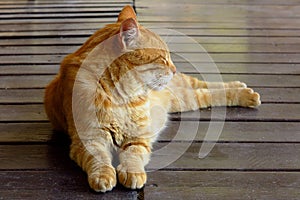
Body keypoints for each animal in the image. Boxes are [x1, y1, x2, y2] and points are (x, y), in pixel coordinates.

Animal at [44, 5, 260, 192]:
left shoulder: (139, 137)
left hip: (185, 94)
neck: (120, 98)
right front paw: (103, 176)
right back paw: (242, 87)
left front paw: (132, 172)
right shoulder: (88, 140)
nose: (174, 69)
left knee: (206, 88)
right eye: (163, 59)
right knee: (203, 88)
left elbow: (133, 155)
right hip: (182, 98)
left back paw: (245, 93)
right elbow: (99, 160)